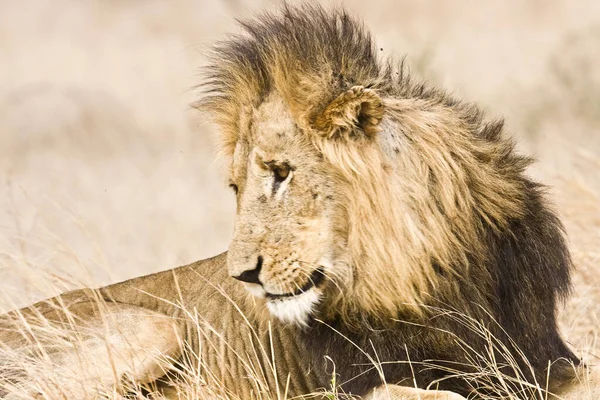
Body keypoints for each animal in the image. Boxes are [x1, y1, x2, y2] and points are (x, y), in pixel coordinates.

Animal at [0, 3, 592, 400]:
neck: (429, 275)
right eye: (236, 188)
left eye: (281, 173)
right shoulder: (349, 384)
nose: (242, 275)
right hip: (156, 328)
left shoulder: (546, 359)